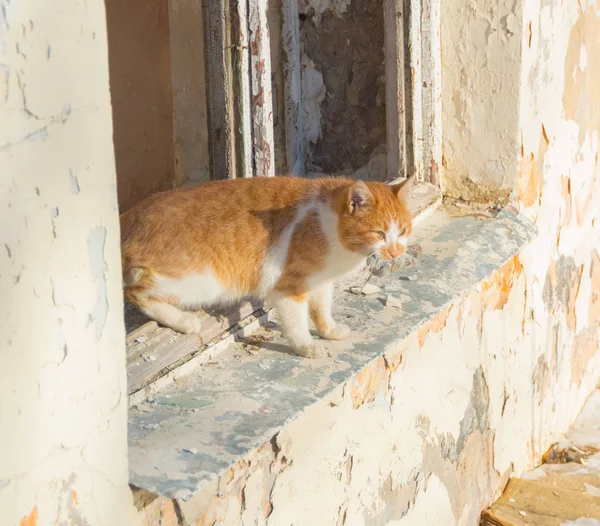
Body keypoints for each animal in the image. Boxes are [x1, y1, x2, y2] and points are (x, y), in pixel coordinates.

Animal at [121, 176, 412, 358]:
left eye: (403, 230)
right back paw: (183, 320)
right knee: (135, 291)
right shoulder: (291, 287)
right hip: (198, 281)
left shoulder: (320, 280)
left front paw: (328, 331)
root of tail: (127, 218)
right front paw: (306, 347)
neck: (325, 222)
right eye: (379, 233)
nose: (396, 251)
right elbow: (296, 322)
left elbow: (321, 309)